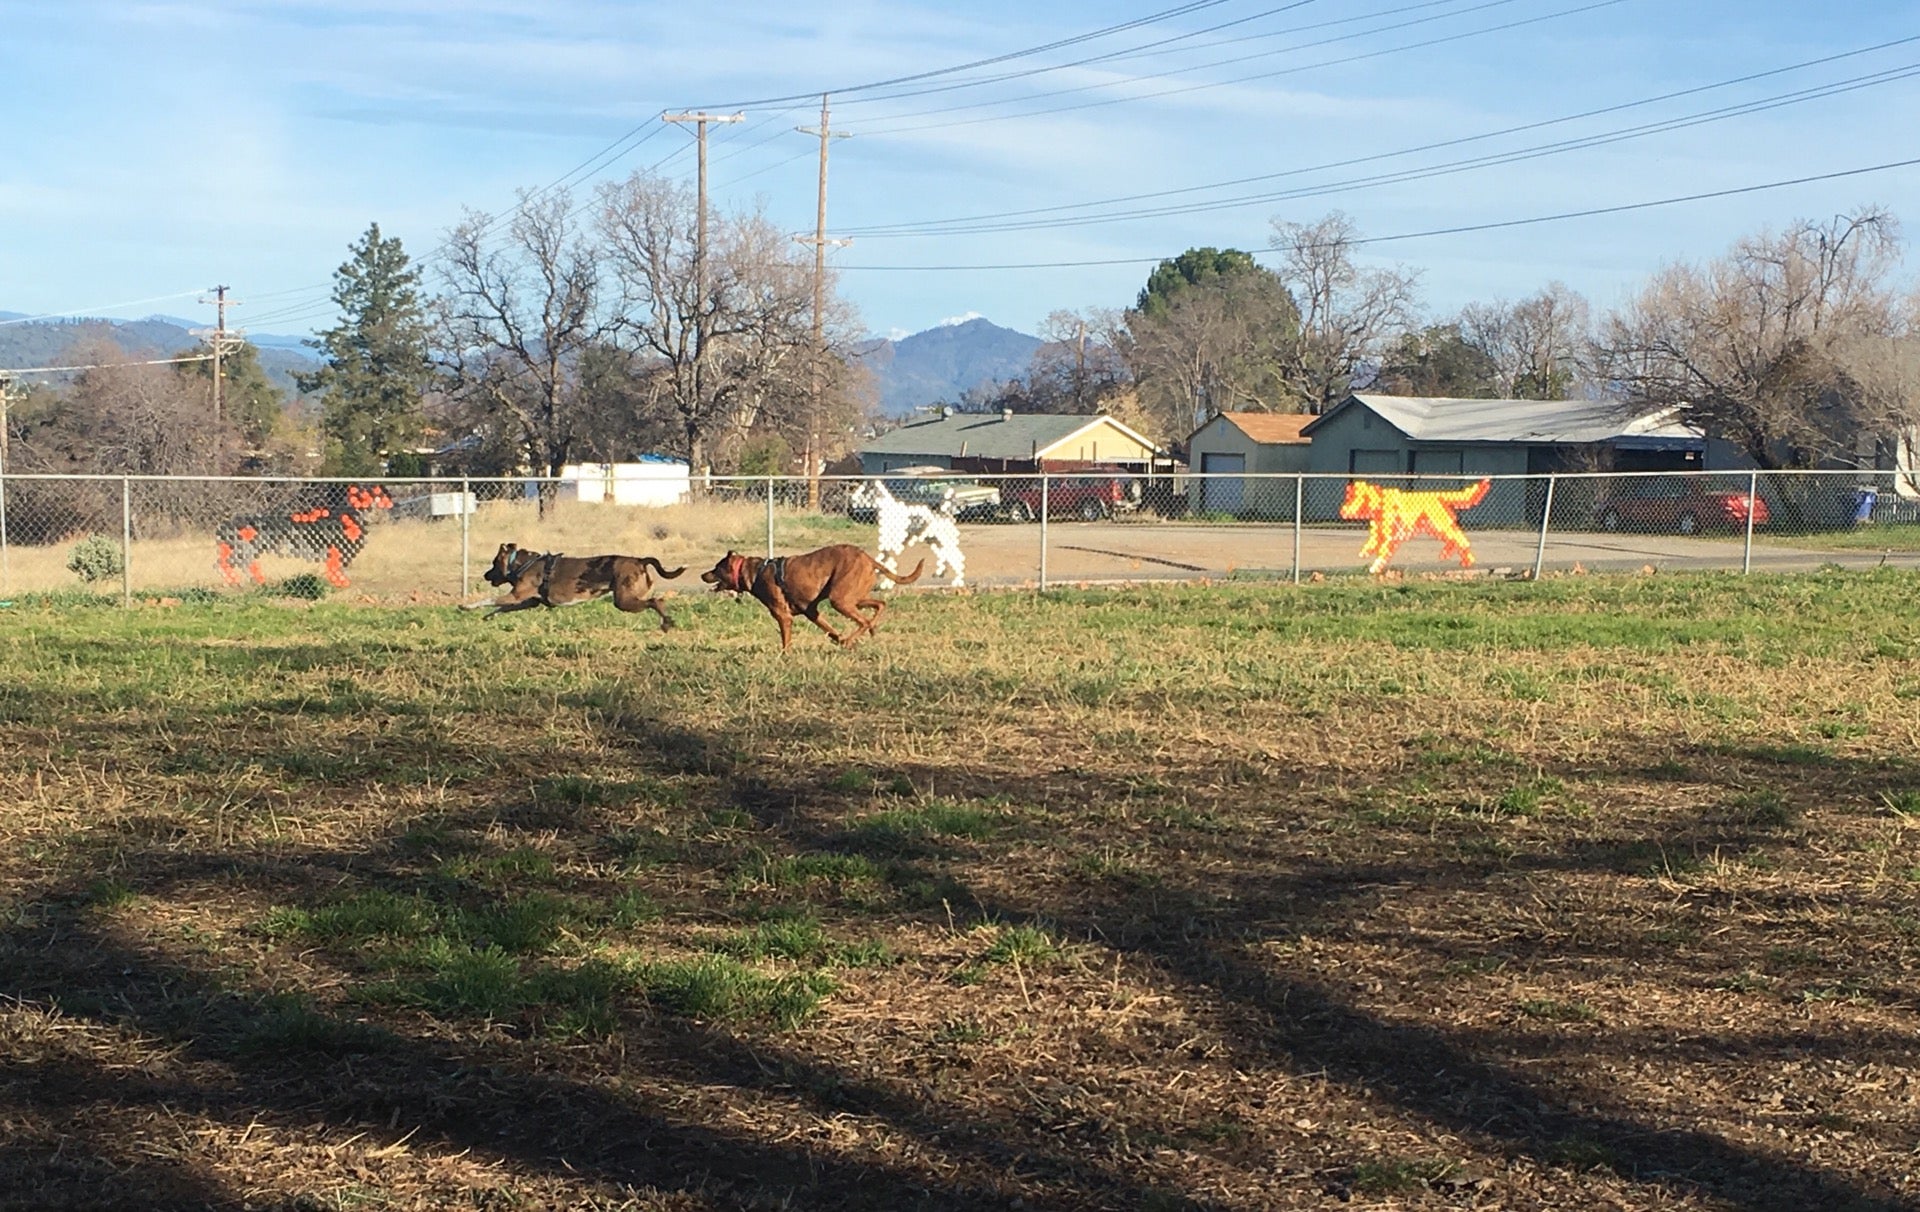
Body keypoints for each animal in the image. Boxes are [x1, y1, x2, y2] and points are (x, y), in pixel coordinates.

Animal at [460, 541, 687, 630]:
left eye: (493, 563)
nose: (485, 574)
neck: (523, 563)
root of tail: (640, 560)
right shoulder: (527, 601)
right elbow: (501, 607)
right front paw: (489, 616)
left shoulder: (517, 596)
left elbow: (490, 599)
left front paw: (466, 606)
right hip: (630, 596)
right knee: (656, 600)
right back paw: (667, 621)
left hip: (624, 600)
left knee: (656, 601)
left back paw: (666, 623)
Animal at [702, 545, 925, 649]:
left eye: (716, 568)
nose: (702, 575)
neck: (754, 572)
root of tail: (868, 558)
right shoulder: (811, 612)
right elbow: (831, 631)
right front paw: (840, 640)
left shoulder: (783, 616)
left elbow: (786, 641)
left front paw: (785, 656)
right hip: (854, 598)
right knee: (879, 605)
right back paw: (870, 630)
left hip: (840, 600)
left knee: (863, 620)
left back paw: (856, 636)